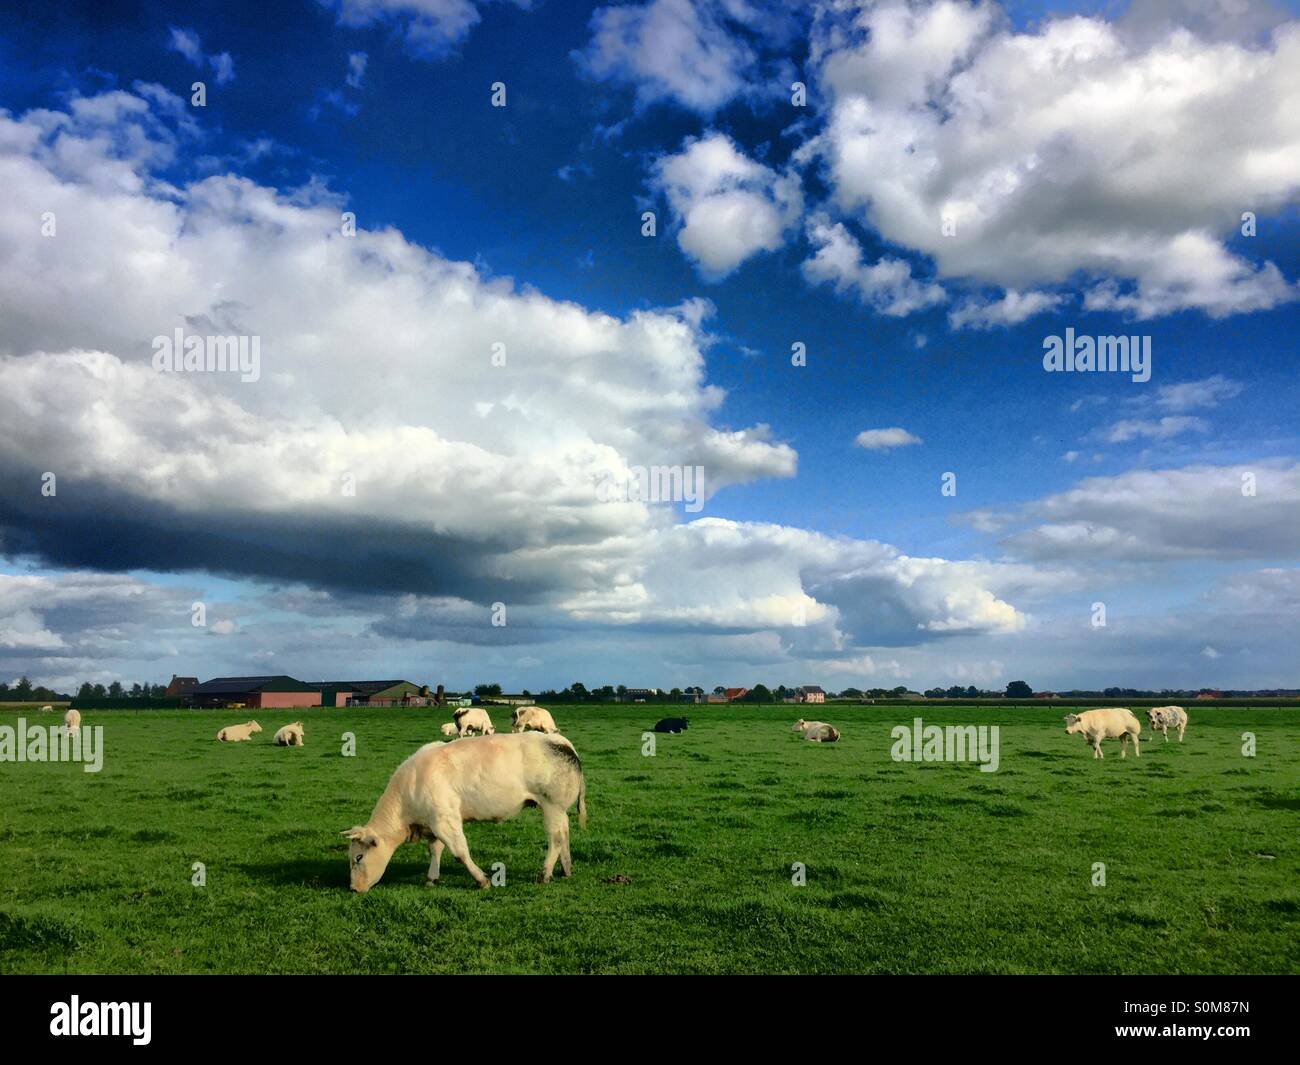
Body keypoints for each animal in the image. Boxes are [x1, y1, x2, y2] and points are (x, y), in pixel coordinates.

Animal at [342, 732, 587, 892]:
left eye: (358, 857)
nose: (353, 888)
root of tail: (560, 741)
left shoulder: (445, 820)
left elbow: (460, 852)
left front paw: (482, 881)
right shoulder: (433, 823)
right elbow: (435, 850)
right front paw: (431, 878)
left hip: (552, 805)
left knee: (556, 838)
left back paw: (545, 874)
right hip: (560, 810)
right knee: (565, 834)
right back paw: (566, 869)